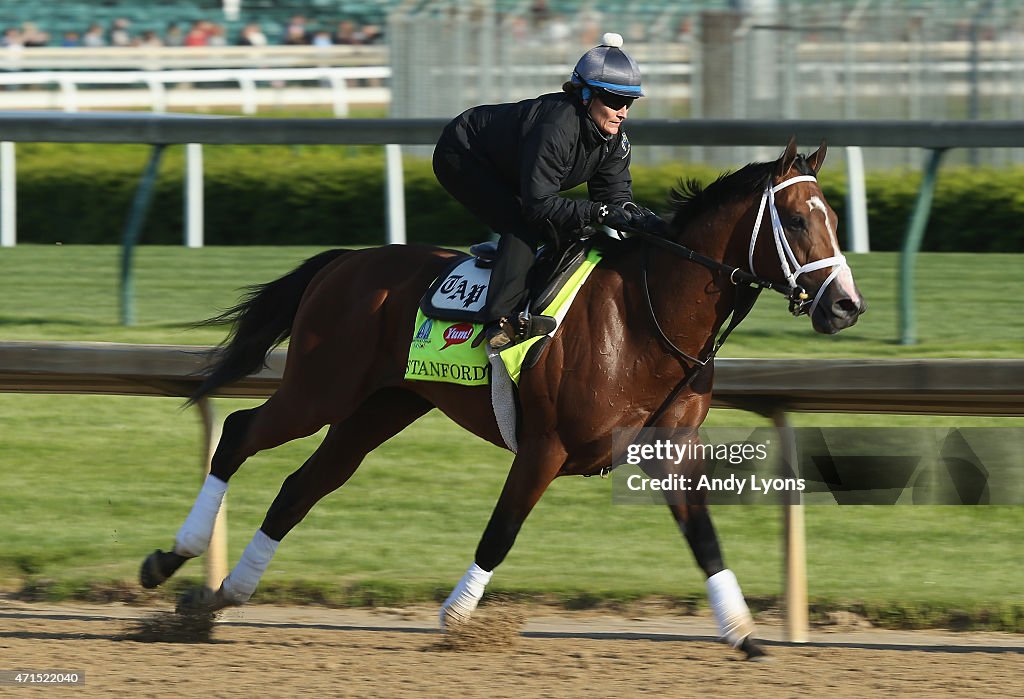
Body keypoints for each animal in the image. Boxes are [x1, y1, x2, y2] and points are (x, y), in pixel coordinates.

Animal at [142, 139, 864, 659]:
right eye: (796, 219)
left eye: (833, 219)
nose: (846, 306)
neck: (644, 317)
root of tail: (343, 261)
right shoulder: (545, 446)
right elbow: (501, 531)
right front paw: (458, 618)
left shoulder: (669, 452)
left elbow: (705, 539)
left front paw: (743, 631)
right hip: (321, 387)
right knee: (239, 432)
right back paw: (171, 558)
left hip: (380, 406)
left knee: (302, 485)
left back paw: (226, 592)